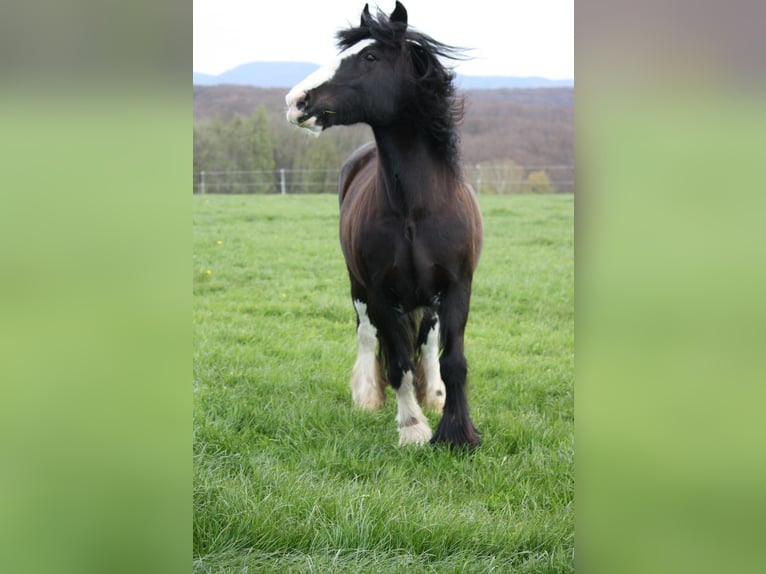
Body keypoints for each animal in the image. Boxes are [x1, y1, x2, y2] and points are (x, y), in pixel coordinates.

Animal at [284, 1, 484, 450]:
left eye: (370, 57)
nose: (296, 101)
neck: (414, 210)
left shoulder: (456, 287)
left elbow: (453, 360)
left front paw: (457, 432)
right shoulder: (379, 292)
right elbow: (397, 363)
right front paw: (412, 429)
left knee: (427, 341)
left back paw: (434, 395)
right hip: (359, 288)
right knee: (367, 335)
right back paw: (366, 395)